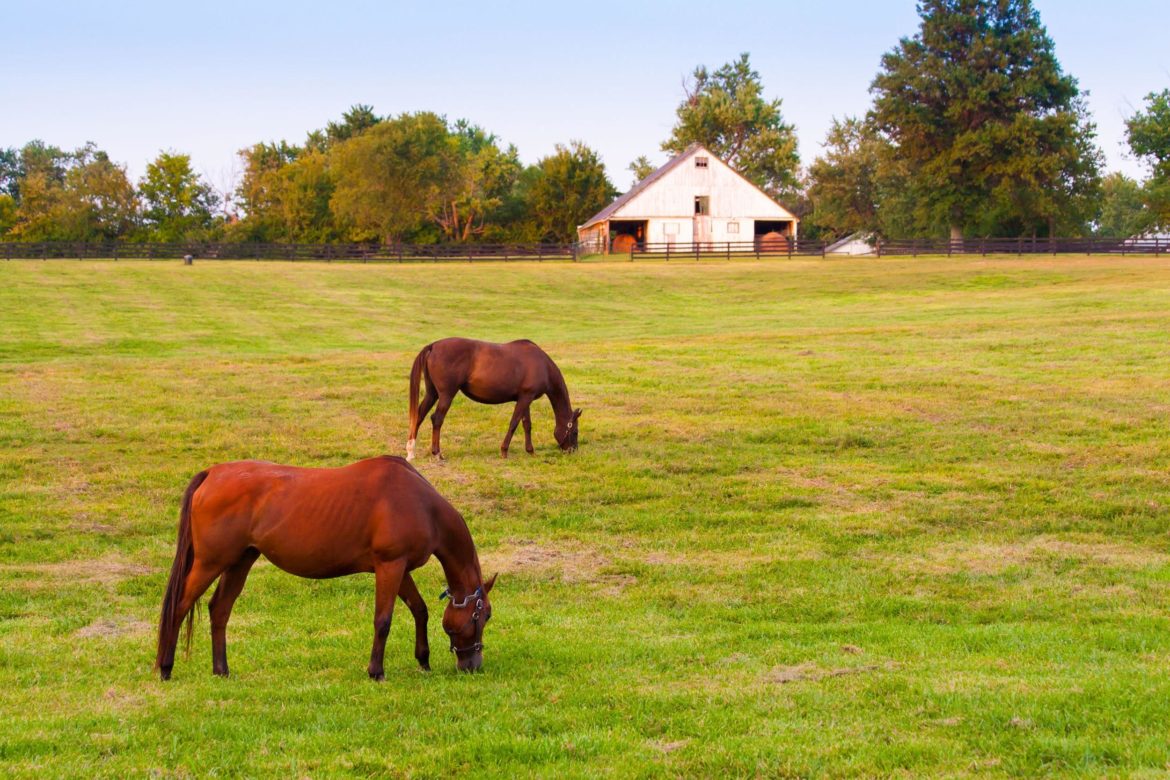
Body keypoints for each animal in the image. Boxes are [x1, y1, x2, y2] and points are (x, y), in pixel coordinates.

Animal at [154, 453, 493, 678]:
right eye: (484, 615)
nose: (473, 666)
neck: (422, 505)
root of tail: (212, 473)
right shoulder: (390, 566)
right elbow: (383, 620)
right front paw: (376, 671)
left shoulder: (400, 568)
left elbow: (419, 610)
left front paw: (423, 660)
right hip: (211, 563)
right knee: (180, 606)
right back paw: (166, 668)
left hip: (239, 562)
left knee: (220, 609)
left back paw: (221, 669)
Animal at [407, 336, 585, 460]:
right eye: (575, 432)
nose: (573, 451)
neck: (543, 366)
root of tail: (433, 346)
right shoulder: (525, 398)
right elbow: (514, 424)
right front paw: (504, 451)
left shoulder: (525, 399)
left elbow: (526, 425)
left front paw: (530, 451)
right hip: (446, 395)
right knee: (437, 419)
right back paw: (437, 453)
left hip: (432, 394)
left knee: (419, 416)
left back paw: (411, 452)